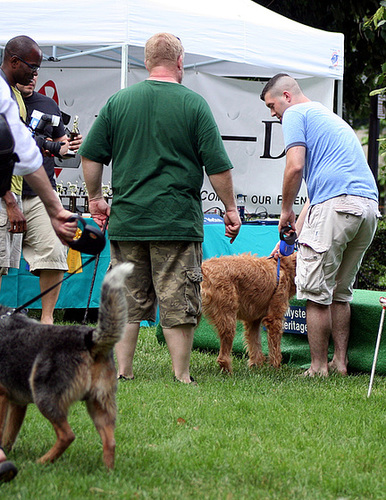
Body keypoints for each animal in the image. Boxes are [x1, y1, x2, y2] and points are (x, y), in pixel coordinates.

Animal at [0, 264, 133, 470]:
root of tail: (90, 340)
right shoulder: (17, 403)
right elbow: (9, 434)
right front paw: (6, 453)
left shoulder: (2, 395)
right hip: (99, 403)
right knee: (110, 441)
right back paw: (108, 472)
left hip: (45, 397)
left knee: (67, 435)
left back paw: (42, 462)